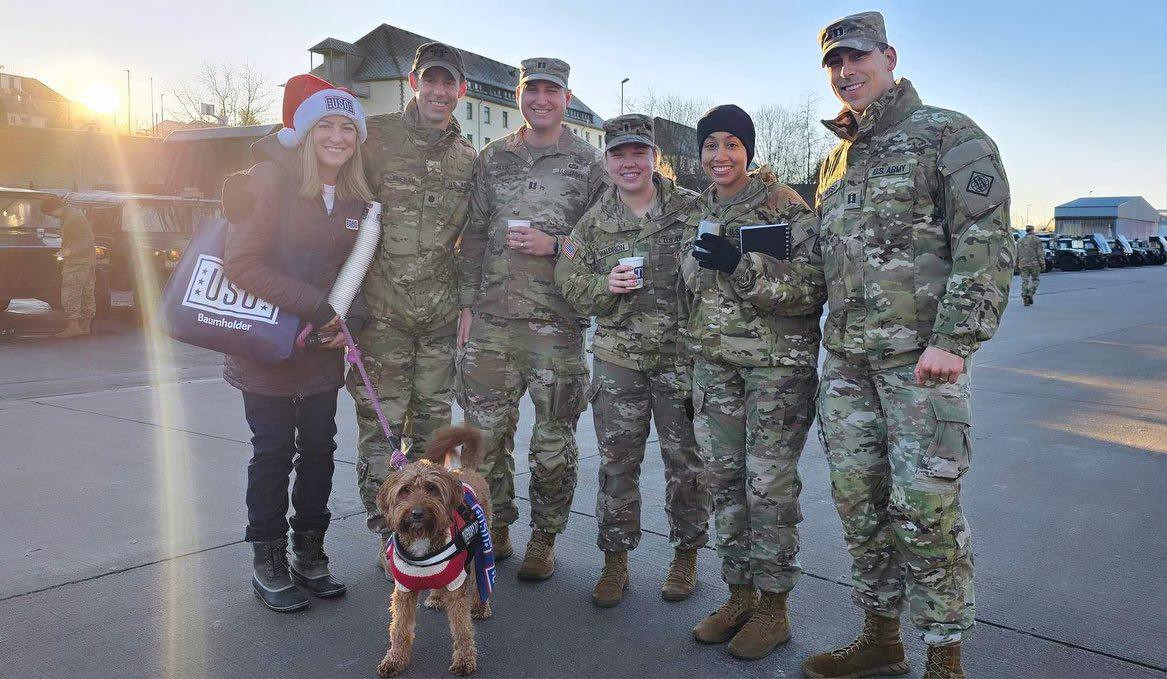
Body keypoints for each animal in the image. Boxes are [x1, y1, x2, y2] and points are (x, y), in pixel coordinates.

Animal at [373, 424, 492, 676]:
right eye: (405, 490)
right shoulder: (404, 590)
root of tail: (465, 470)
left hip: (480, 550)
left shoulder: (457, 587)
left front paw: (465, 660)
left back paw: (480, 606)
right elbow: (399, 630)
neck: (422, 540)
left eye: (432, 488)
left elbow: (462, 629)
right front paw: (395, 660)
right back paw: (436, 597)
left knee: (480, 581)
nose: (417, 513)